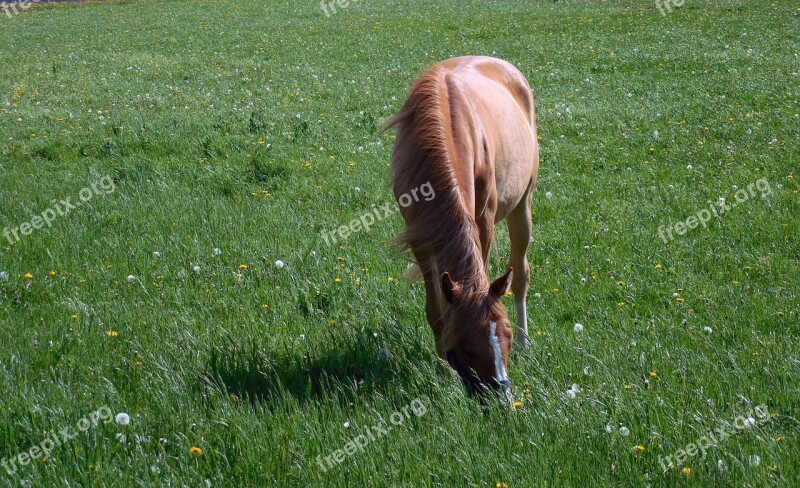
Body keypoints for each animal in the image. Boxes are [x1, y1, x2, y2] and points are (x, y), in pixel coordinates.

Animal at [386, 55, 540, 394]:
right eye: (467, 346)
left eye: (506, 336)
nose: (500, 392)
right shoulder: (422, 235)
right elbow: (436, 311)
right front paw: (442, 371)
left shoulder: (483, 223)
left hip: (522, 205)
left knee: (521, 274)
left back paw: (528, 342)